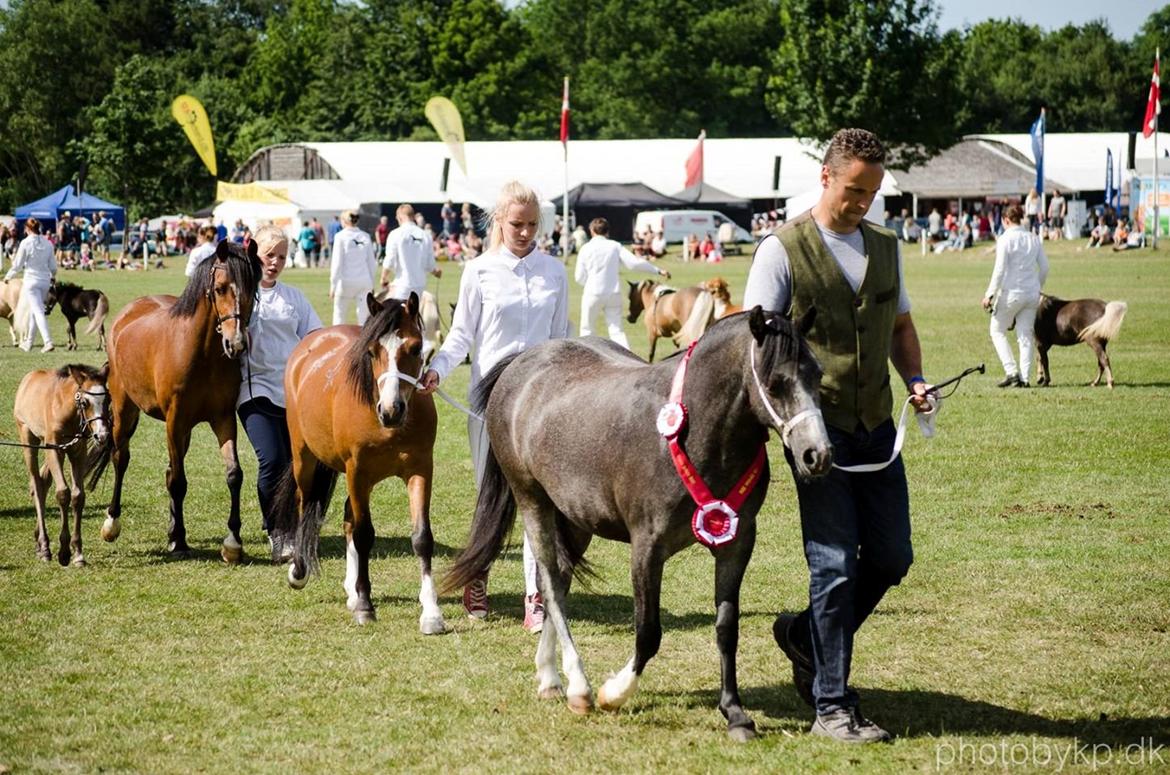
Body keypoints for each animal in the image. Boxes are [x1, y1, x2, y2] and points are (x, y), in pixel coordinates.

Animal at [269, 295, 442, 636]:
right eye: (372, 351)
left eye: (416, 347)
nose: (391, 410)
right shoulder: (357, 472)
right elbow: (364, 535)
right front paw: (365, 606)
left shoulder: (419, 471)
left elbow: (421, 538)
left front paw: (431, 612)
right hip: (305, 459)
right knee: (304, 504)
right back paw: (299, 570)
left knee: (348, 518)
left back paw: (351, 588)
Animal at [442, 306, 837, 744]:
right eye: (775, 382)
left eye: (817, 375)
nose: (817, 454)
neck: (691, 434)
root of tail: (523, 362)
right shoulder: (647, 548)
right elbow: (648, 632)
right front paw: (614, 692)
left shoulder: (737, 543)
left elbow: (726, 628)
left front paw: (735, 714)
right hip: (533, 501)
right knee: (551, 586)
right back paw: (578, 687)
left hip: (575, 518)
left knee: (556, 580)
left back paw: (549, 678)